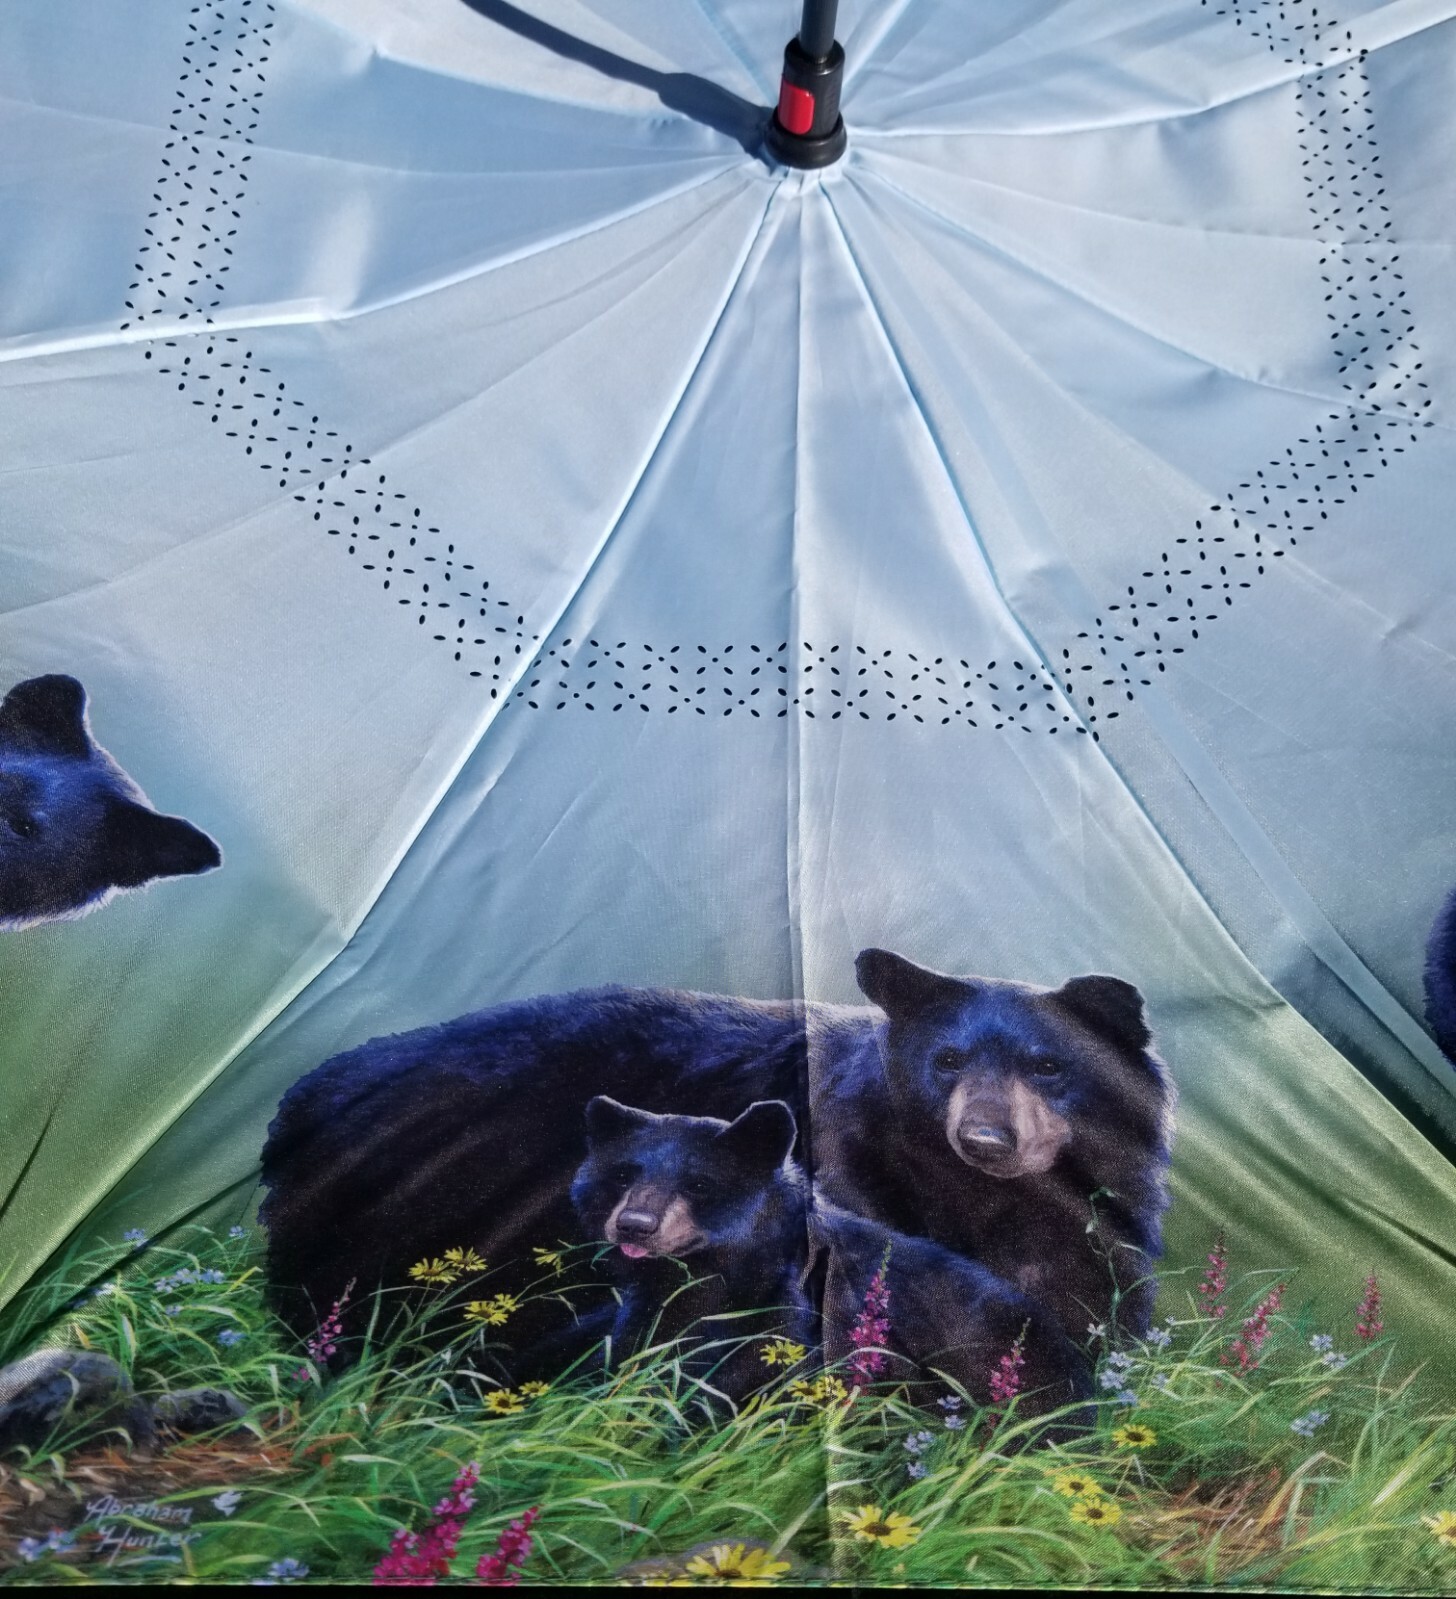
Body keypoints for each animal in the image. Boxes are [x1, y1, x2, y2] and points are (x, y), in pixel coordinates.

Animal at [571, 1095, 1090, 1419]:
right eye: (622, 1173)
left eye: (699, 1184)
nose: (634, 1224)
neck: (710, 1276)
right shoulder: (649, 1314)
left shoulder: (796, 1318)